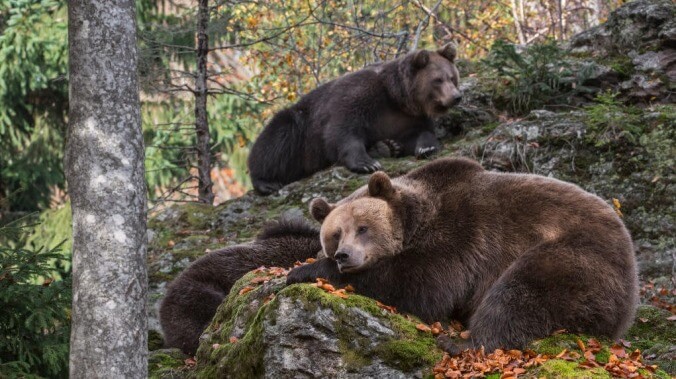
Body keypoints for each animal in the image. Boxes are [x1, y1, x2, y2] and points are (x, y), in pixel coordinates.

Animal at [248, 43, 464, 196]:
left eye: (452, 77)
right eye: (438, 79)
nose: (456, 97)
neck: (397, 97)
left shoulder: (407, 118)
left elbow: (420, 133)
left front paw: (426, 147)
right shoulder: (360, 96)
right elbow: (343, 129)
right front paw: (367, 163)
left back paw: (387, 147)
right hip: (300, 126)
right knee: (278, 139)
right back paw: (266, 181)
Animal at [286, 157, 640, 354]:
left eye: (362, 228)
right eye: (335, 233)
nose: (344, 255)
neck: (417, 219)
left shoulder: (462, 234)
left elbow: (424, 285)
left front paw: (303, 269)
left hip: (577, 257)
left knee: (519, 291)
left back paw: (461, 343)